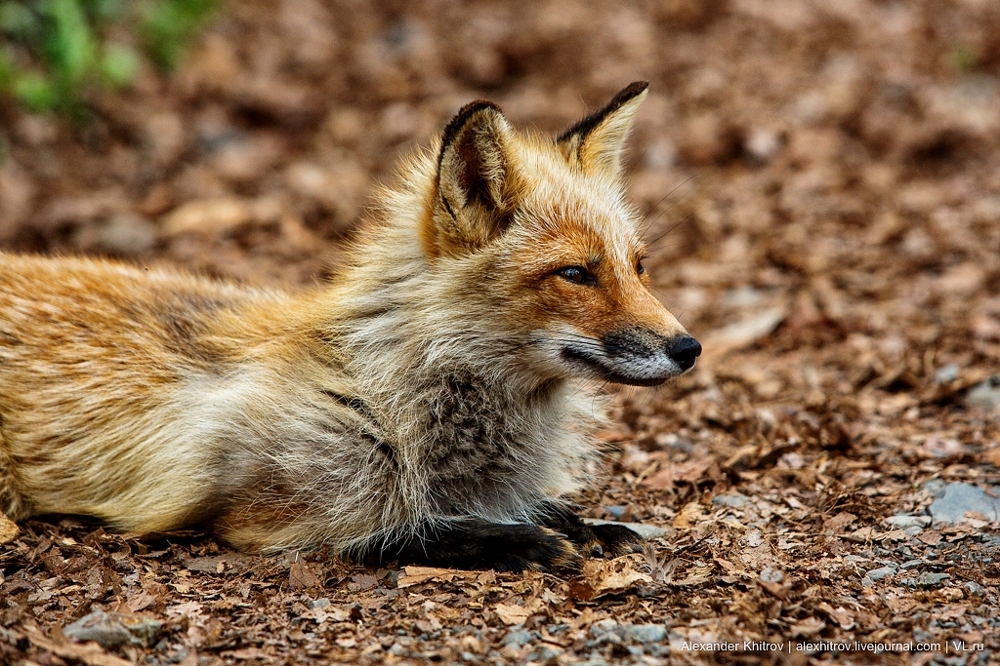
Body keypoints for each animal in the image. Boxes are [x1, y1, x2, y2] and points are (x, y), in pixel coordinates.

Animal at [0, 81, 700, 572]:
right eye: (576, 274)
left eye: (638, 267)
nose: (689, 348)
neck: (389, 394)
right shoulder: (273, 513)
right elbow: (405, 528)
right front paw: (517, 542)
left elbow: (547, 507)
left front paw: (590, 526)